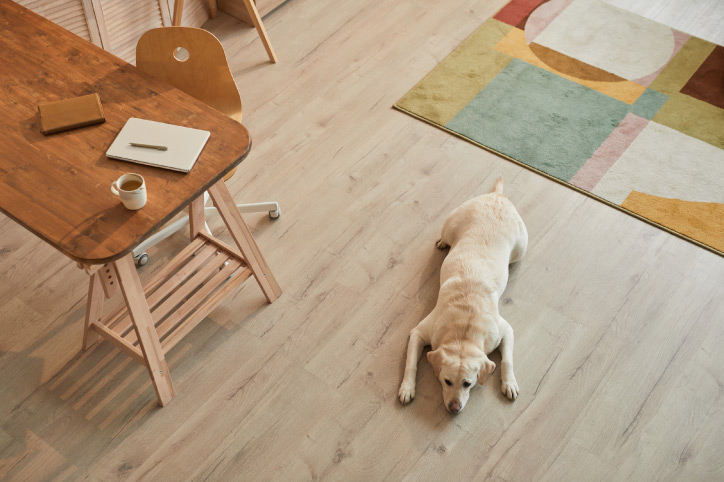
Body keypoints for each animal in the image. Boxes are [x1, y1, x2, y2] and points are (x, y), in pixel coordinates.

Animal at [398, 179, 528, 412]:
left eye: (468, 383)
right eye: (446, 381)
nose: (454, 408)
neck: (464, 330)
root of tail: (497, 196)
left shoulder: (505, 330)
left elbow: (507, 360)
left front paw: (509, 383)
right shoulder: (418, 333)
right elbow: (410, 364)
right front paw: (407, 388)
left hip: (521, 248)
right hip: (451, 224)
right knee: (445, 235)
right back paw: (442, 242)